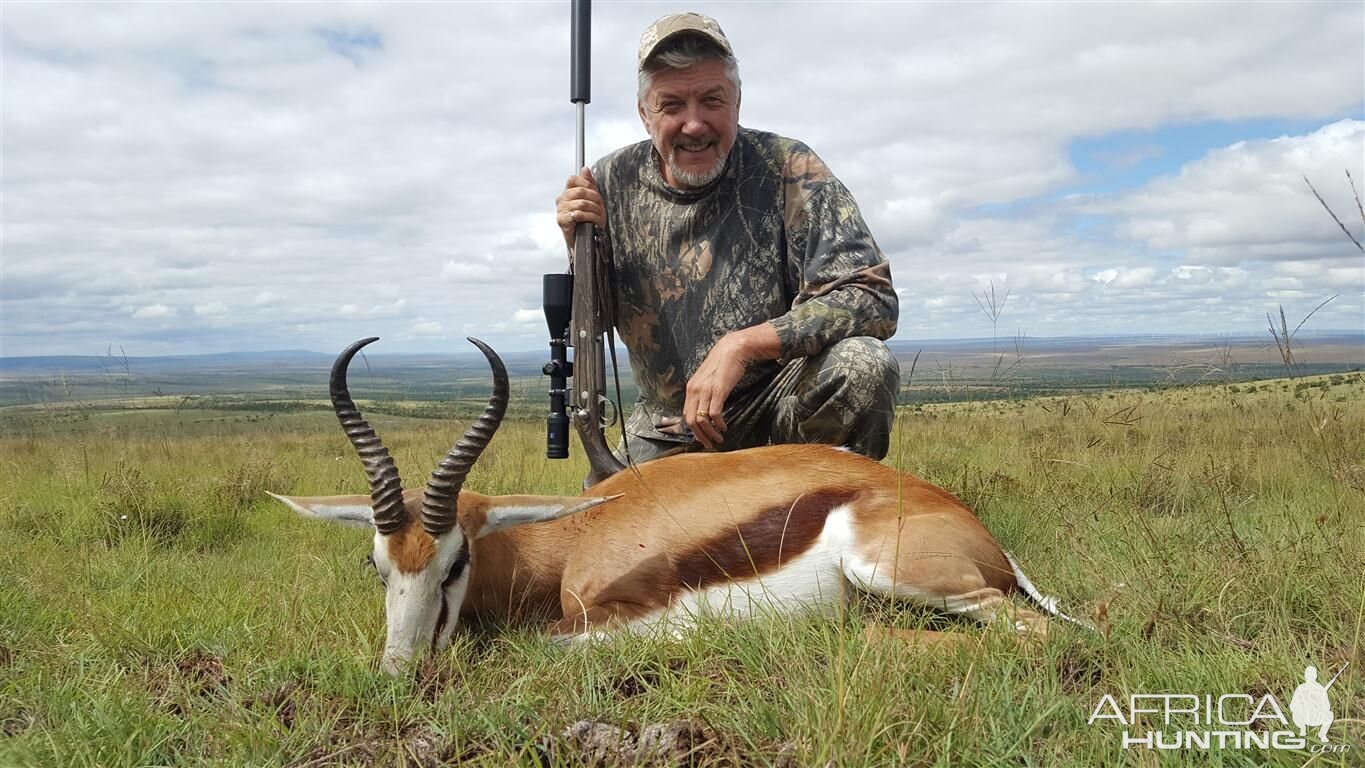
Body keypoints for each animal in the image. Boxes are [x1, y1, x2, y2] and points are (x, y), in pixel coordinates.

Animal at [268, 336, 1086, 673]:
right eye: (377, 566)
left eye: (455, 563)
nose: (400, 671)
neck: (573, 537)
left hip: (902, 577)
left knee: (1034, 634)